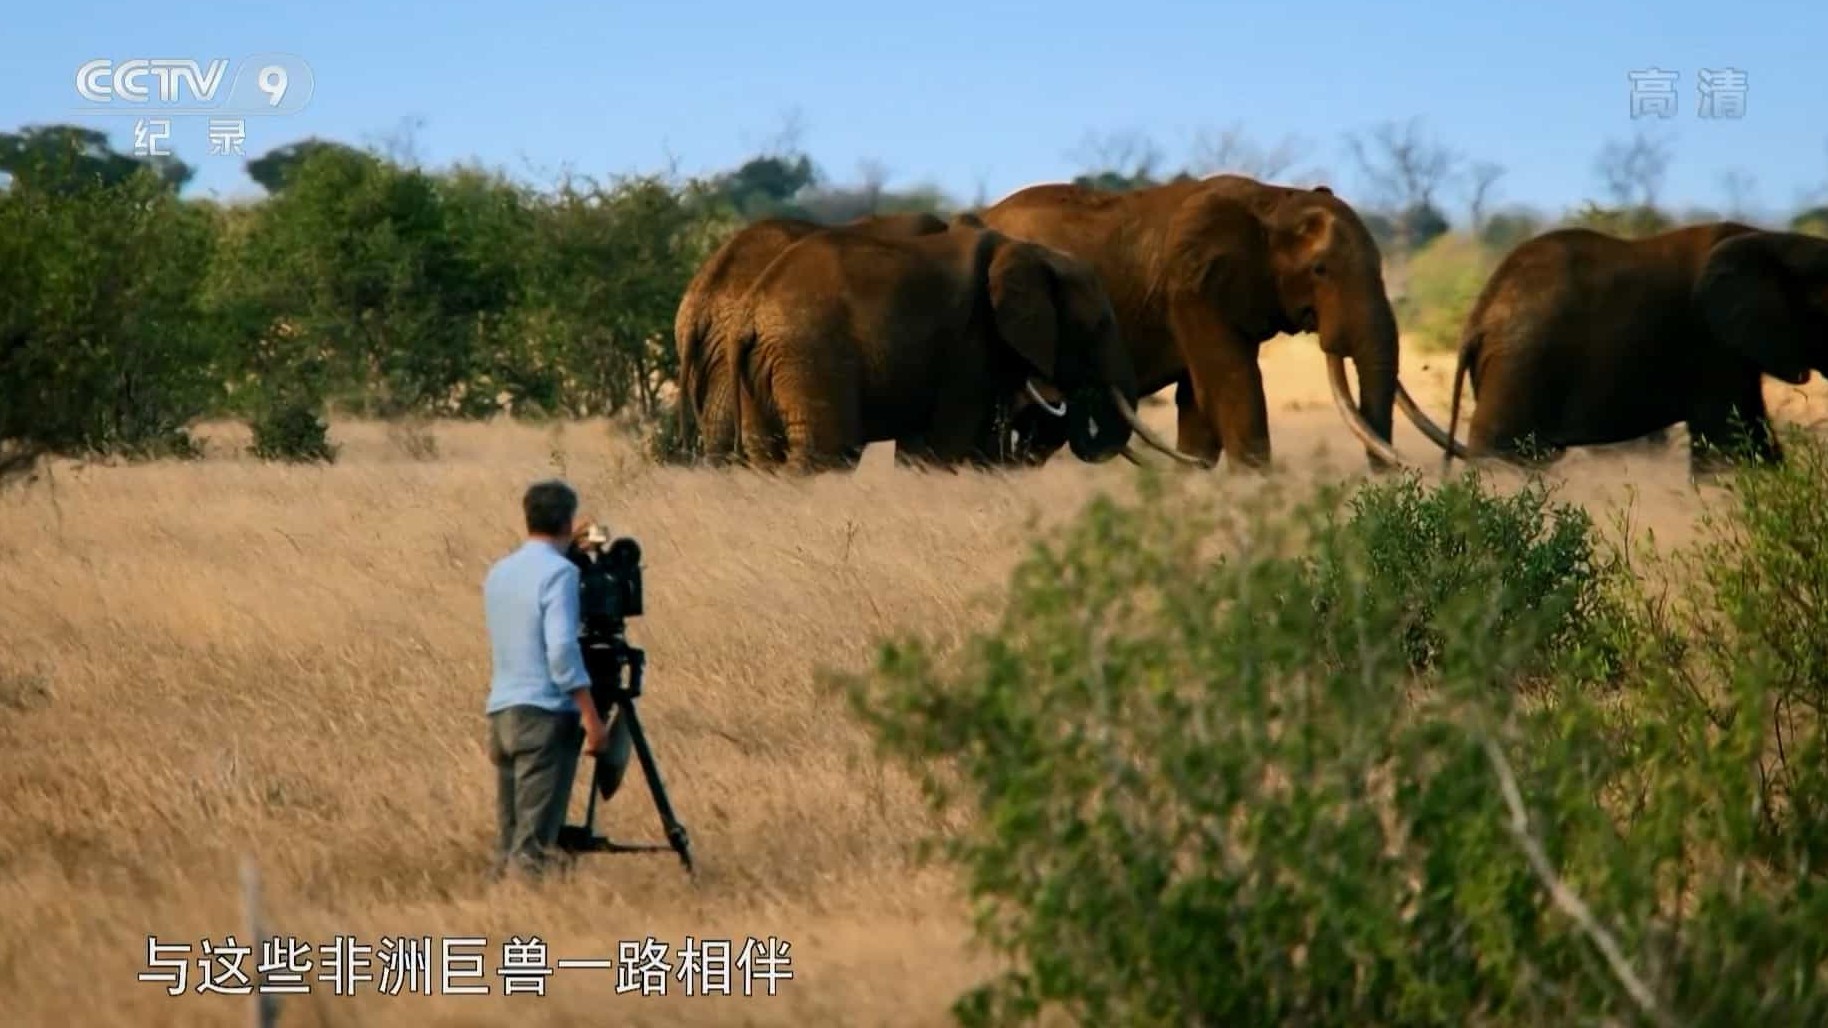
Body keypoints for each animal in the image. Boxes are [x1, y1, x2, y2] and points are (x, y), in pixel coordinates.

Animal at [720, 220, 1191, 471]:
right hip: (810, 355)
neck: (1026, 251)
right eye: (1098, 325)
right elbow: (950, 440)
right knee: (826, 452)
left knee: (767, 454)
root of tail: (752, 312)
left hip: (766, 365)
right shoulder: (968, 340)